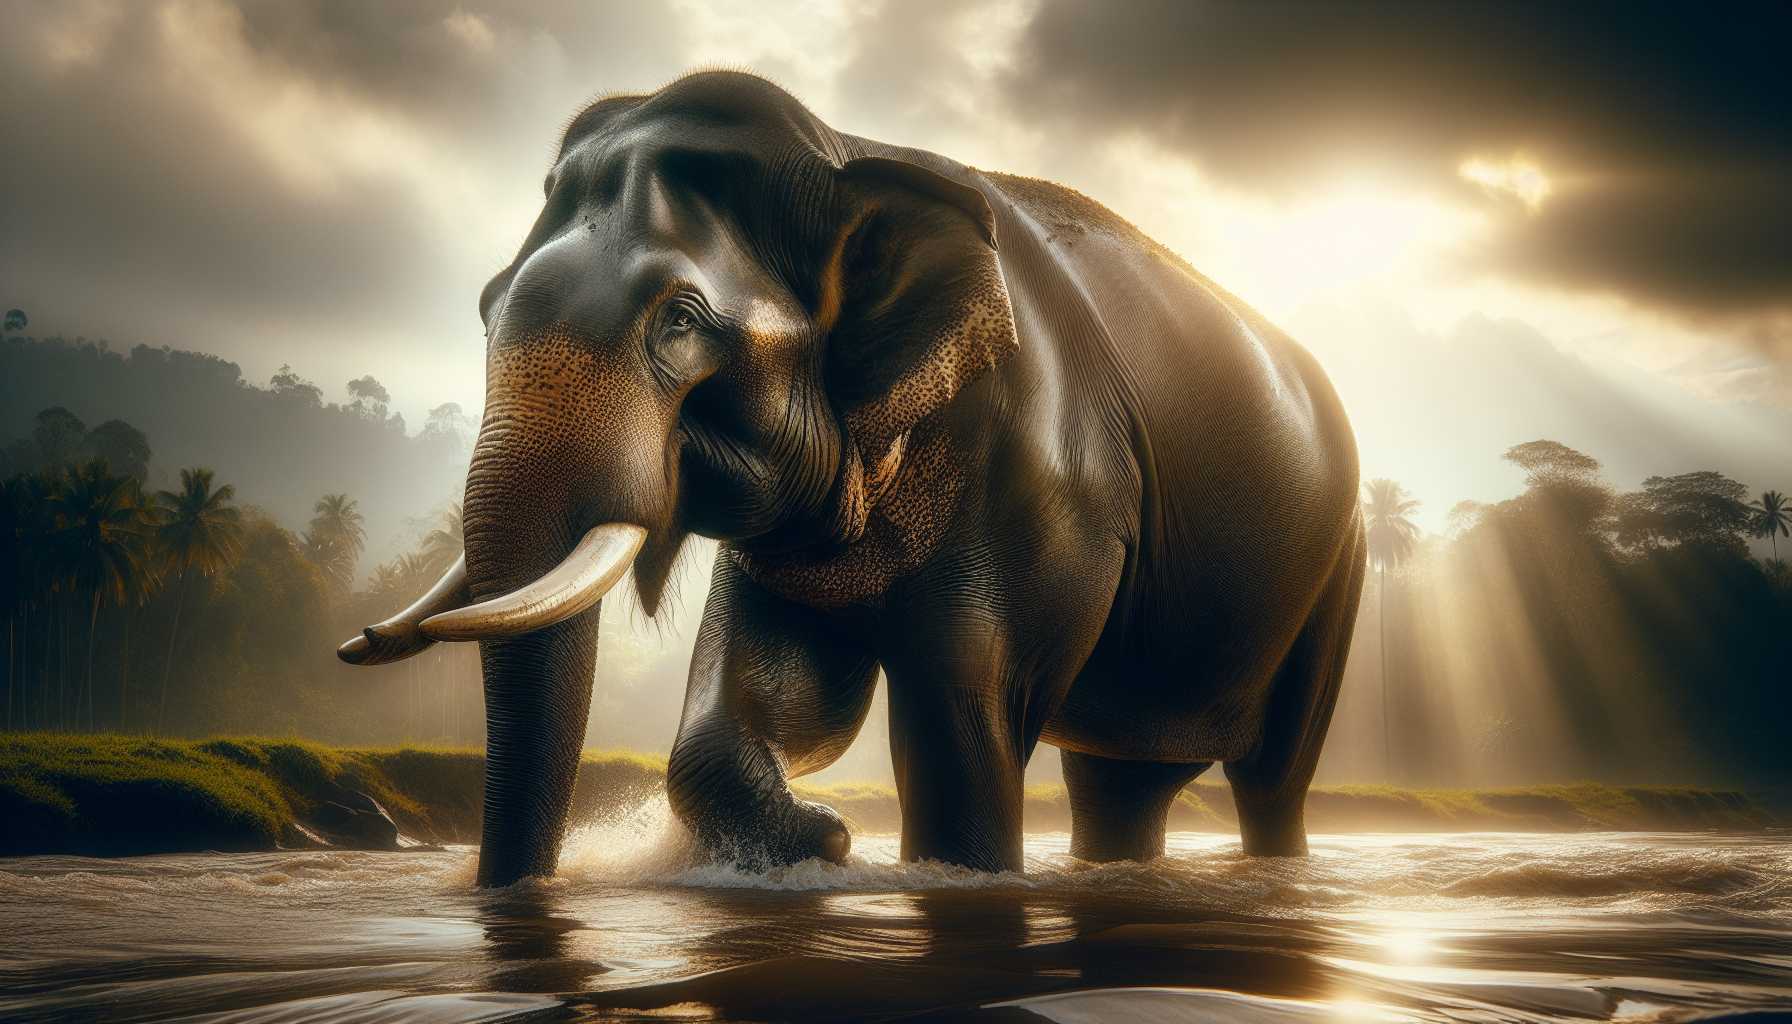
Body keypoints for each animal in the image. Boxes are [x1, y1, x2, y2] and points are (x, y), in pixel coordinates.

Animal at [338, 71, 1365, 888]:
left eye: (680, 320)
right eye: (484, 304)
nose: (358, 642)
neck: (848, 152)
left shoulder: (1049, 484)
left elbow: (963, 709)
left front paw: (918, 867)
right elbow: (768, 691)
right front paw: (816, 842)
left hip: (1339, 571)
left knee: (1272, 775)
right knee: (1119, 783)